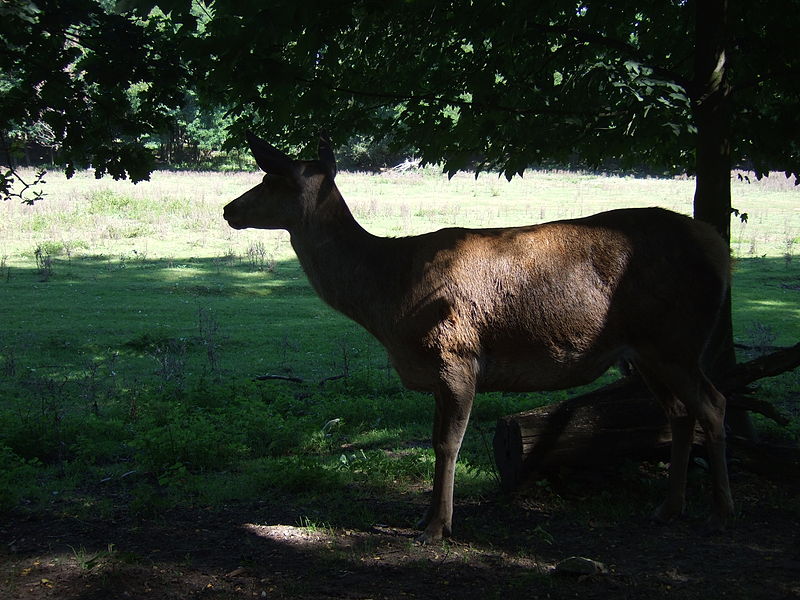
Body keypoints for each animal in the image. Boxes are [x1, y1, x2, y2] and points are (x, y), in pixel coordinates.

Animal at [222, 131, 736, 544]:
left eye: (273, 180)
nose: (229, 209)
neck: (389, 299)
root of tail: (717, 245)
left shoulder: (457, 356)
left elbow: (448, 444)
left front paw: (437, 528)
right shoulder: (436, 372)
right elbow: (435, 440)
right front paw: (425, 517)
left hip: (676, 340)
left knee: (713, 403)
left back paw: (721, 514)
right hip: (648, 352)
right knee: (679, 413)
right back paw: (669, 508)